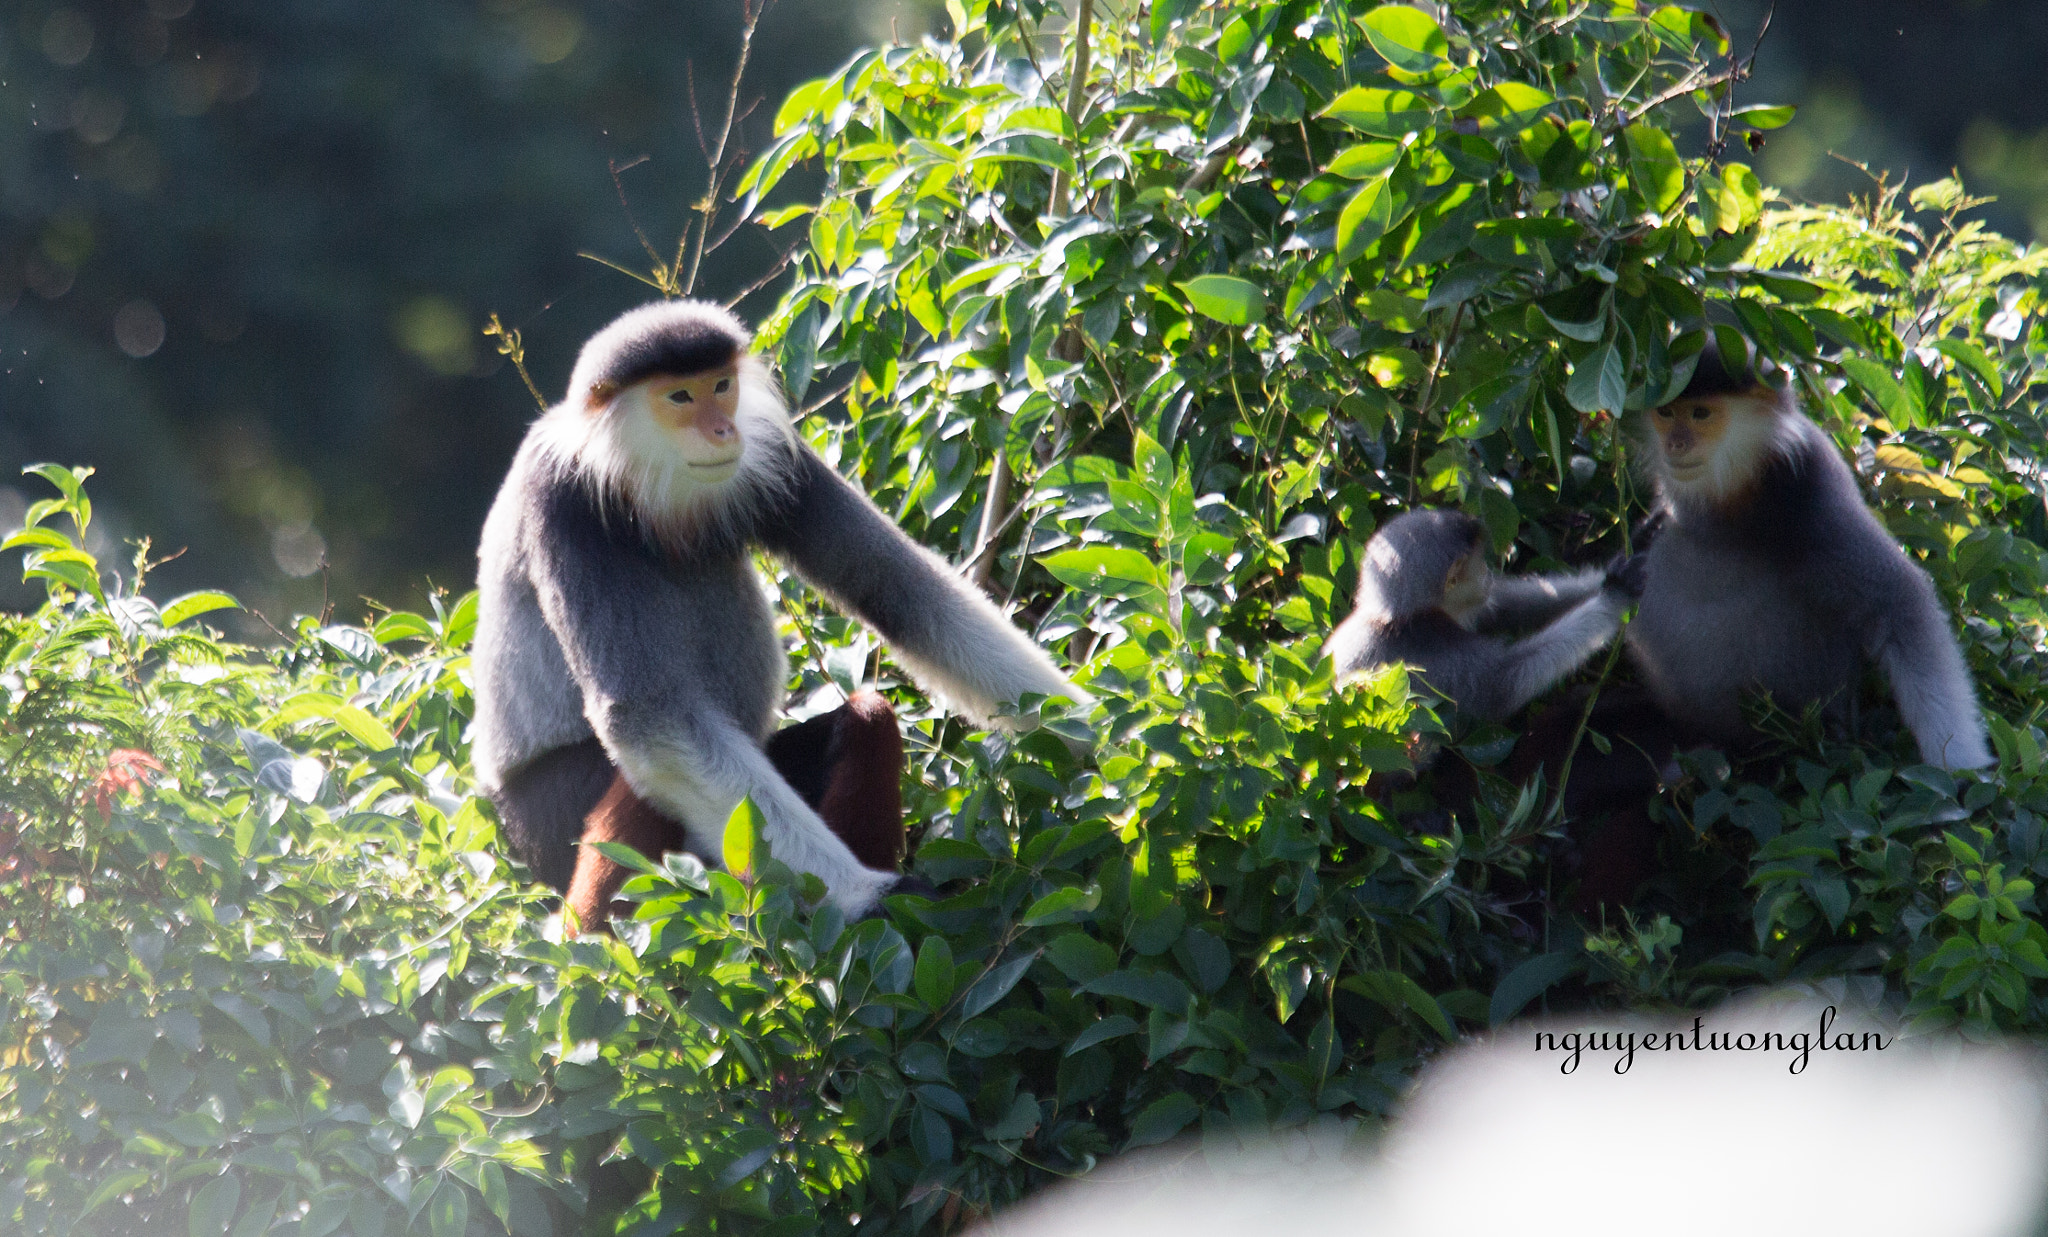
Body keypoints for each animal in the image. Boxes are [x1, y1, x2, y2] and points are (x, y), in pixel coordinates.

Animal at [473, 296, 1097, 917]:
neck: (646, 493)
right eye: (680, 397)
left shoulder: (774, 451)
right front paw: (870, 894)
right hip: (549, 809)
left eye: (721, 385)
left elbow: (901, 592)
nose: (722, 429)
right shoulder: (562, 504)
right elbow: (650, 718)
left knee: (868, 718)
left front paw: (1101, 737)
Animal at [1327, 507, 1646, 720]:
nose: (1488, 571)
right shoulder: (1429, 648)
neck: (1394, 618)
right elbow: (1505, 685)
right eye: (1477, 563)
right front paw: (1615, 595)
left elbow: (1509, 605)